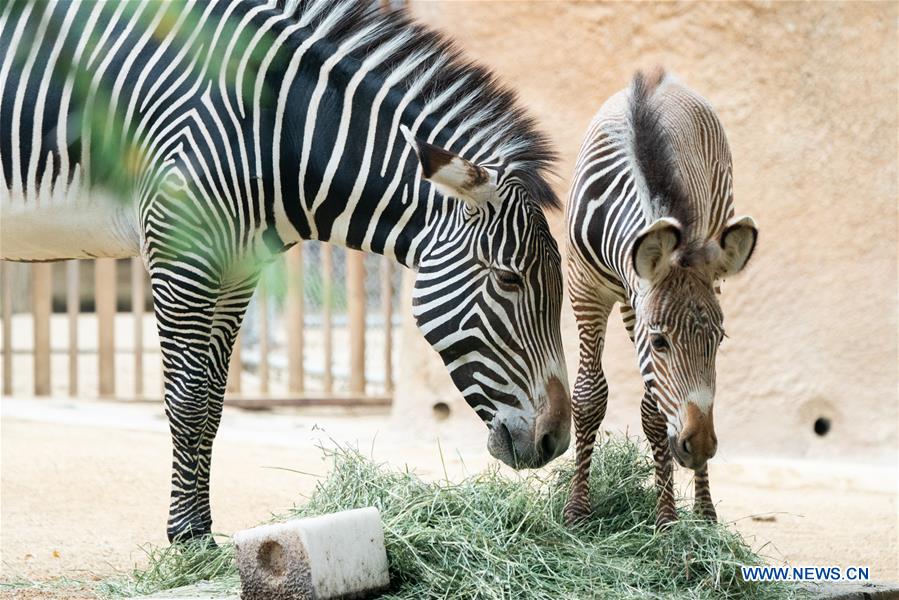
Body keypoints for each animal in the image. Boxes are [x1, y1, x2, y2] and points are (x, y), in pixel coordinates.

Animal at [1, 0, 568, 540]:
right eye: (509, 279)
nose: (557, 439)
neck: (271, 130)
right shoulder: (179, 247)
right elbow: (187, 401)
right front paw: (186, 540)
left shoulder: (237, 266)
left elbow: (212, 403)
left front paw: (203, 535)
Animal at [568, 70, 760, 528]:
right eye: (659, 342)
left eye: (719, 341)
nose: (701, 446)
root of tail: (664, 79)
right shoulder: (585, 290)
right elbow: (588, 397)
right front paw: (577, 512)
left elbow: (654, 412)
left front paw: (668, 520)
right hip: (630, 304)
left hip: (716, 253)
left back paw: (704, 514)